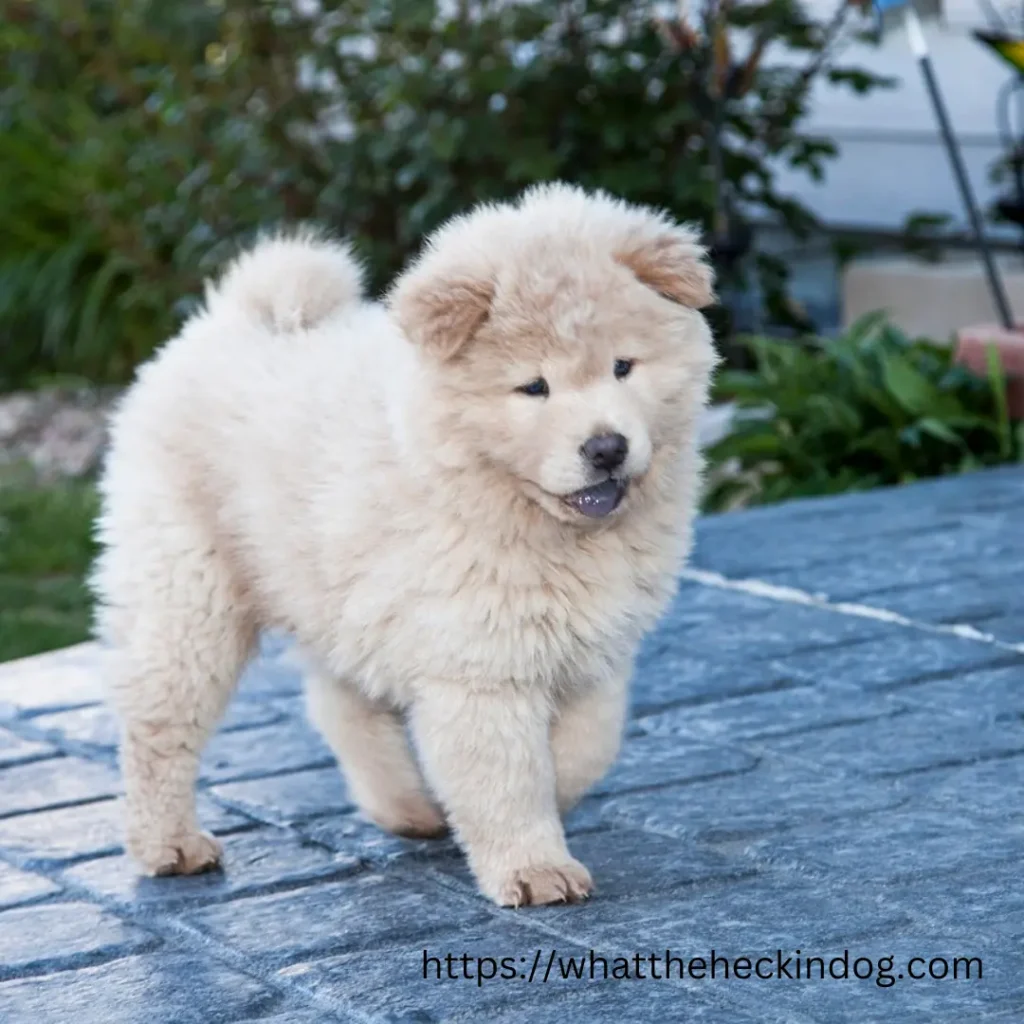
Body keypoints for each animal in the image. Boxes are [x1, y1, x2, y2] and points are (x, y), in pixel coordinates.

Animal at [92, 182, 716, 905]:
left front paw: (549, 803)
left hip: (333, 590)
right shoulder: (478, 662)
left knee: (340, 704)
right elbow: (506, 773)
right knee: (159, 723)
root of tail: (233, 315)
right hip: (189, 593)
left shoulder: (597, 649)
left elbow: (587, 749)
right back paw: (169, 845)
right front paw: (535, 868)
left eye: (623, 367)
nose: (607, 447)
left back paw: (408, 808)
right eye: (534, 387)